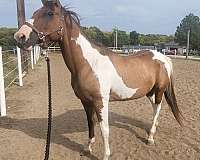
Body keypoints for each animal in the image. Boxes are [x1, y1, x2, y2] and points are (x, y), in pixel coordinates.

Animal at [13, 0, 183, 159]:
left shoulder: (100, 102)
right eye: (35, 12)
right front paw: (87, 148)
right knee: (155, 109)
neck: (89, 64)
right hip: (149, 92)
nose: (19, 36)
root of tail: (164, 58)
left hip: (159, 91)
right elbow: (90, 124)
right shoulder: (86, 101)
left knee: (157, 108)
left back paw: (150, 137)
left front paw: (106, 155)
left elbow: (104, 129)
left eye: (49, 13)